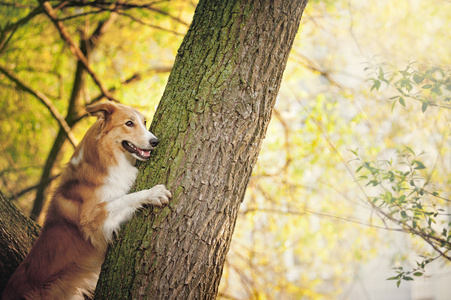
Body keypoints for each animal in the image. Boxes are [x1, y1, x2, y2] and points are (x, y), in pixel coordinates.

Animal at [2, 102, 171, 298]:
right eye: (129, 123)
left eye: (144, 122)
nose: (155, 141)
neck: (105, 158)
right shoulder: (92, 219)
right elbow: (124, 199)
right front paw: (154, 193)